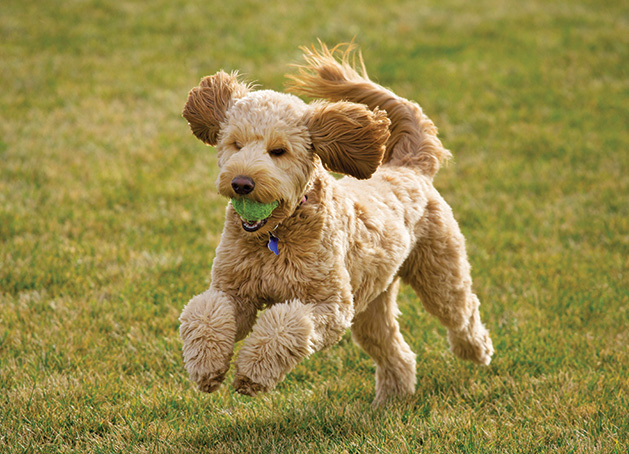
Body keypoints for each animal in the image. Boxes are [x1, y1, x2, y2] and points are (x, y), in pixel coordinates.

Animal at [177, 43, 490, 404]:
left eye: (279, 151)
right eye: (235, 144)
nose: (242, 183)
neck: (276, 236)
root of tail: (410, 167)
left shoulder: (331, 304)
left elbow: (287, 324)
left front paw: (253, 373)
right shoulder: (234, 291)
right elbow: (206, 312)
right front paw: (206, 367)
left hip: (440, 274)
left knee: (463, 312)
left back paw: (477, 351)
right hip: (371, 304)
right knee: (394, 350)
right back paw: (391, 400)